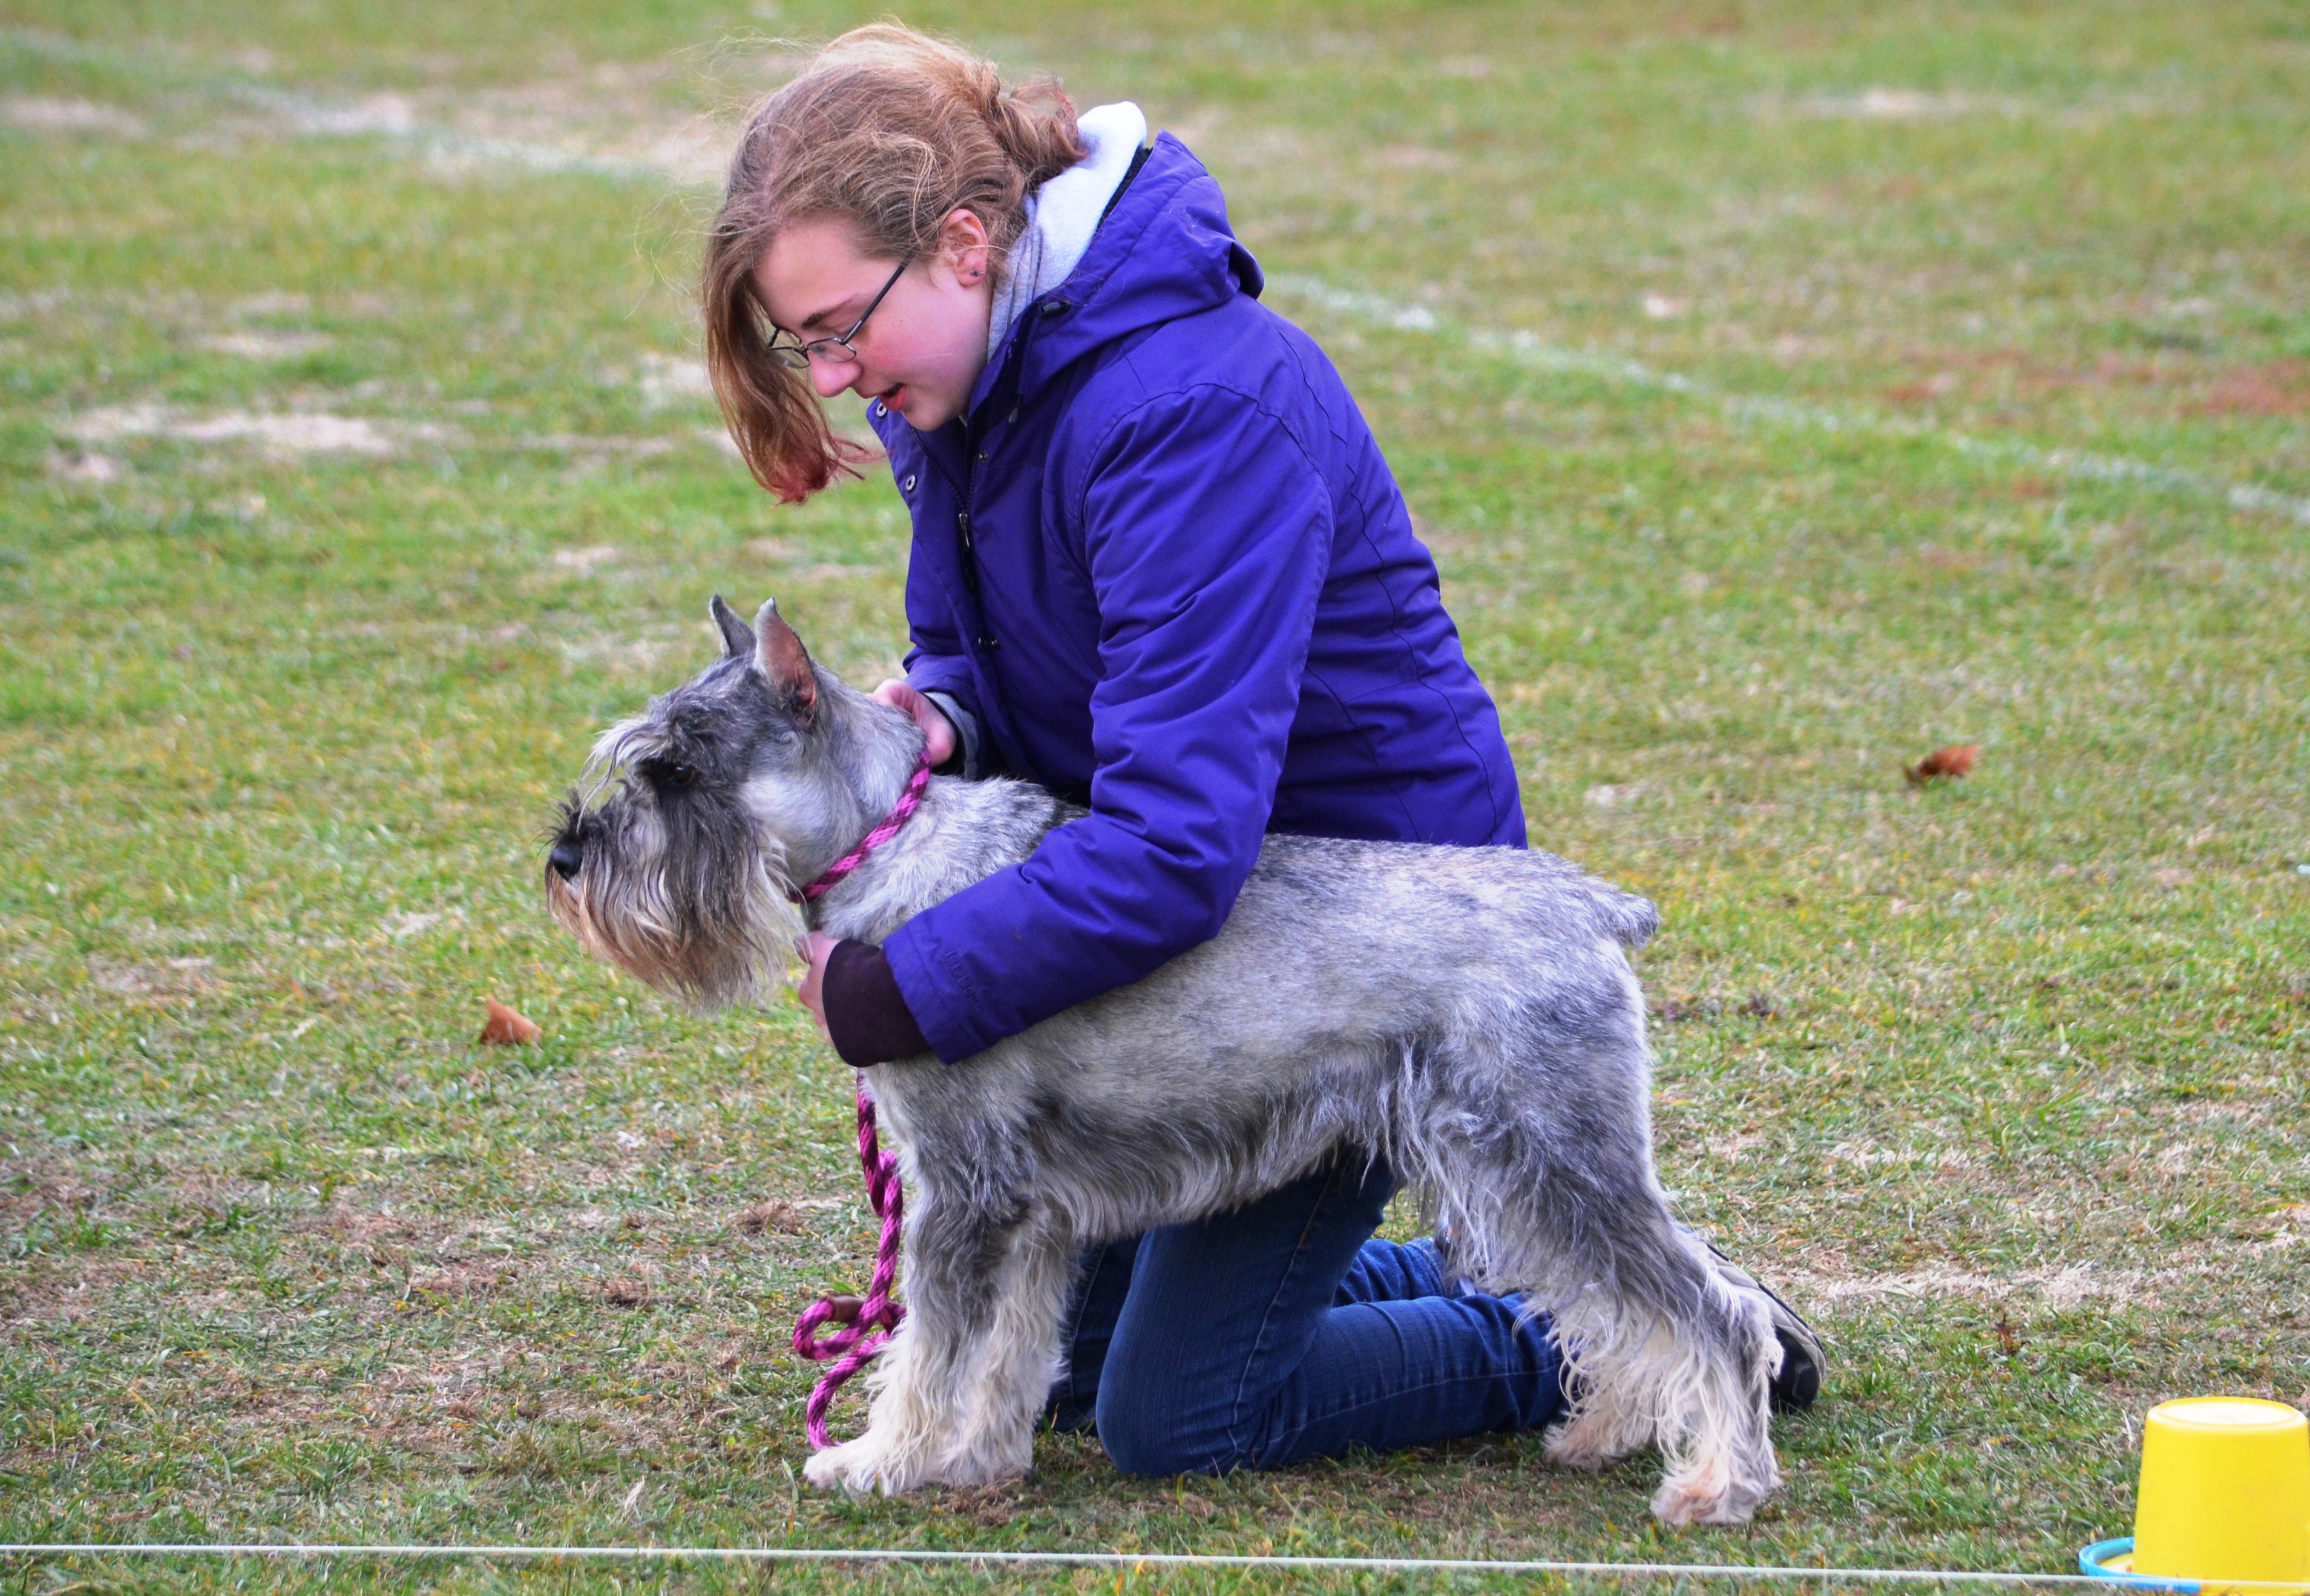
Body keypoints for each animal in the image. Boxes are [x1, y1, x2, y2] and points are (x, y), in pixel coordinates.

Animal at [550, 595, 1792, 1524]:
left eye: (673, 770)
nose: (565, 856)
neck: (891, 847)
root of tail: (1594, 908)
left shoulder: (961, 1192)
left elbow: (933, 1344)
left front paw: (879, 1460)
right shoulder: (1032, 1211)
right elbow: (1008, 1351)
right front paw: (978, 1462)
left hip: (1548, 1155)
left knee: (1711, 1310)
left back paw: (1719, 1482)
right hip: (1517, 1173)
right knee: (1617, 1301)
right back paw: (1607, 1429)